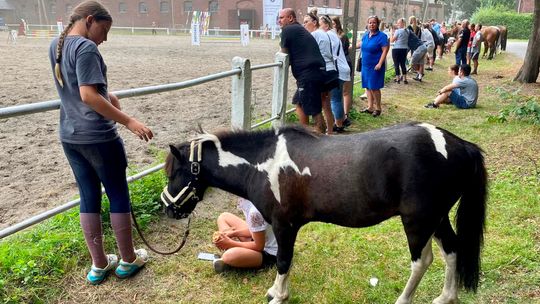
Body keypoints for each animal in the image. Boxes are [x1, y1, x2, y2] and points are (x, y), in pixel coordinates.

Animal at [162, 122, 488, 302]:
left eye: (175, 172)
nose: (168, 207)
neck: (263, 164)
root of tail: (460, 145)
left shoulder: (283, 224)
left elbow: (282, 261)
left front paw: (278, 295)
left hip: (418, 221)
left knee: (422, 261)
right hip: (437, 218)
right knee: (452, 250)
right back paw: (445, 298)